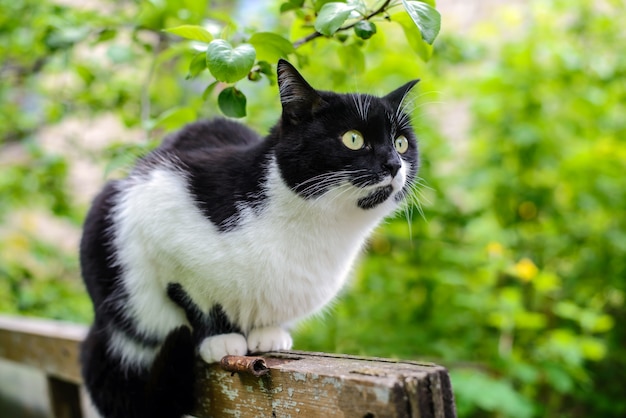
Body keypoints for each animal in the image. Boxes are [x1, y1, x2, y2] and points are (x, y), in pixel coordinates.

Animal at [79, 59, 420, 418]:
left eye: (401, 143)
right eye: (353, 139)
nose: (394, 164)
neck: (317, 226)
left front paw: (269, 334)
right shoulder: (157, 209)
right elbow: (191, 297)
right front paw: (219, 337)